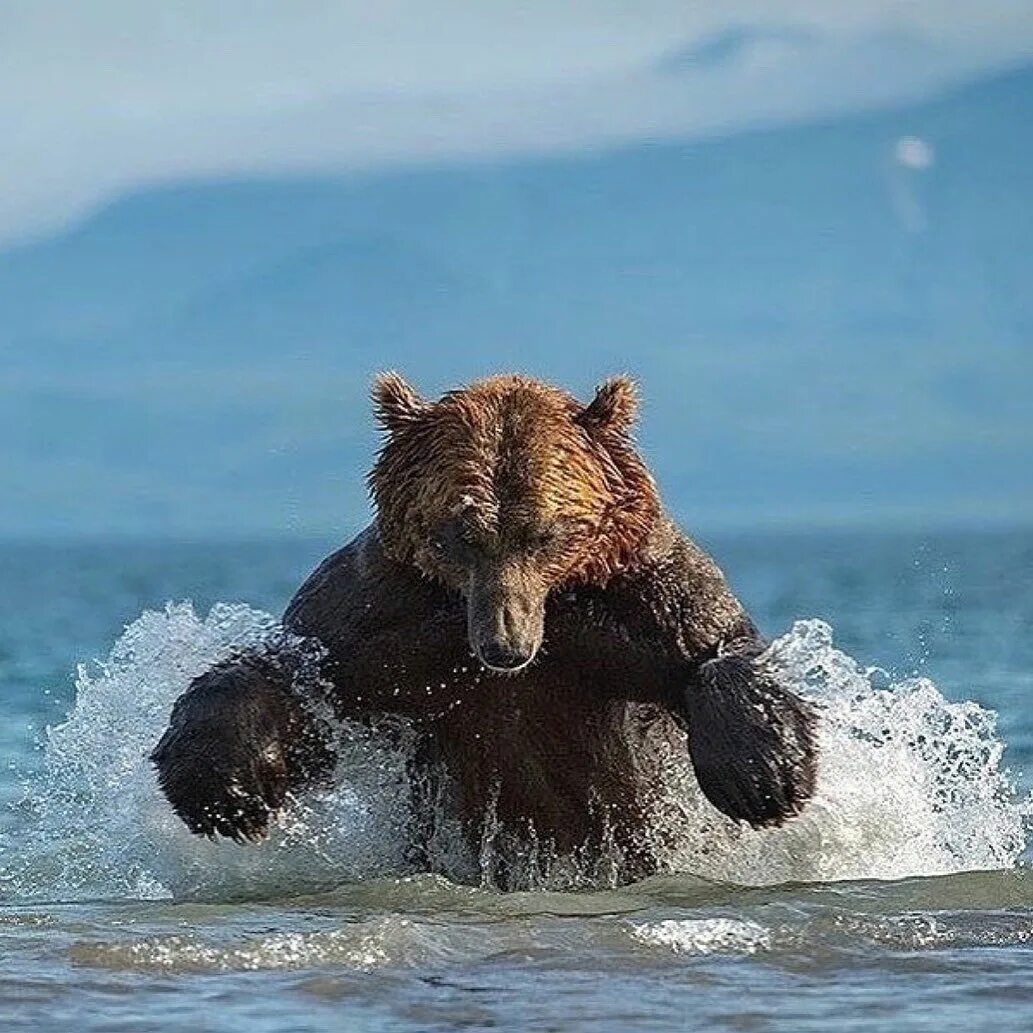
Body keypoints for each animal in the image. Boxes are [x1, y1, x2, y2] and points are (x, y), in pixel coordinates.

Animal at [150, 376, 814, 884]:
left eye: (545, 532)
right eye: (460, 532)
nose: (505, 647)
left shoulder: (639, 599)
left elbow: (712, 648)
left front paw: (766, 776)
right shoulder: (378, 618)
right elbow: (298, 687)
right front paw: (222, 788)